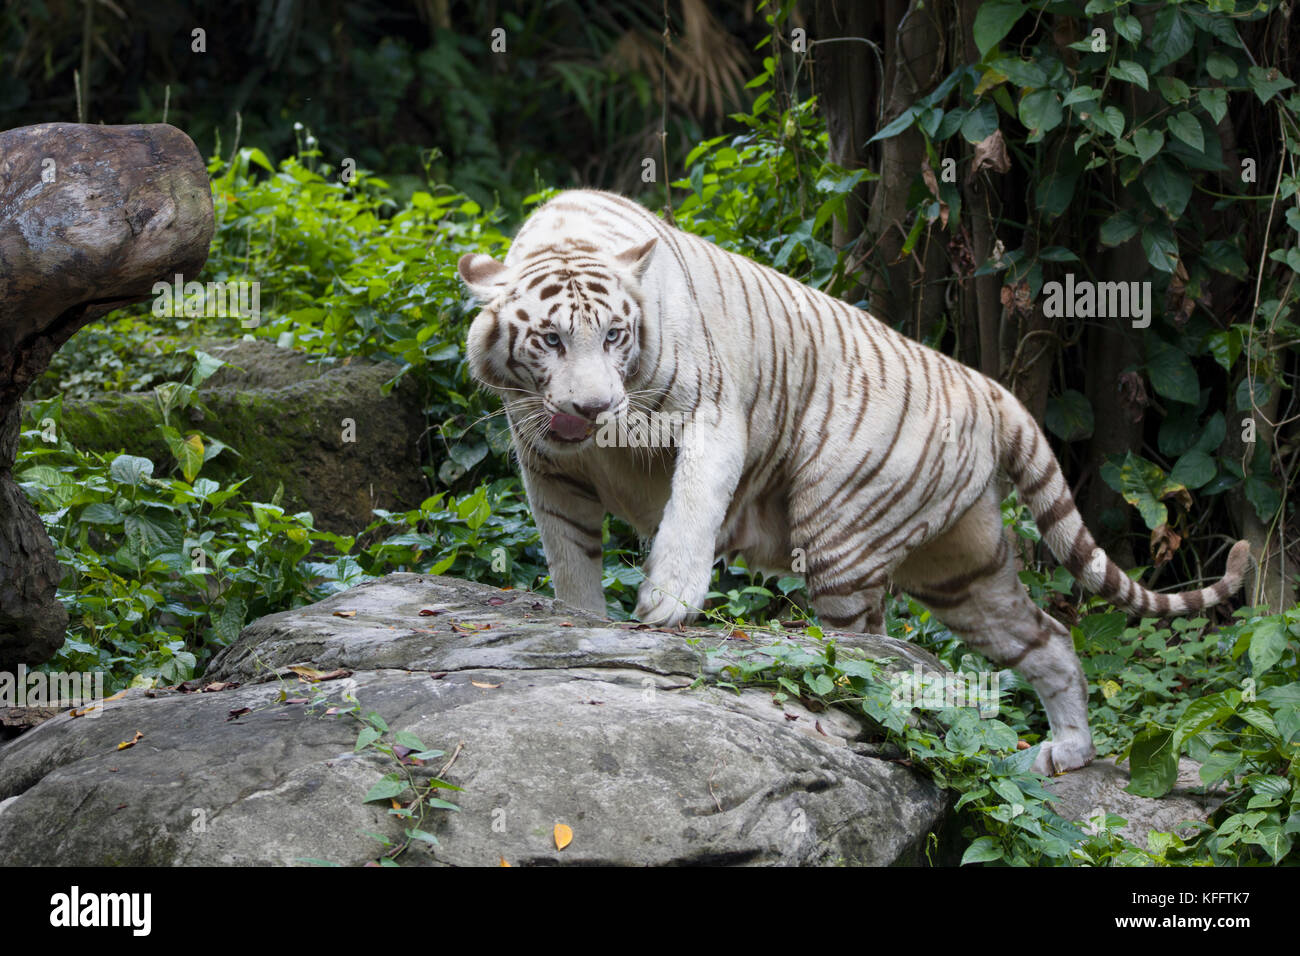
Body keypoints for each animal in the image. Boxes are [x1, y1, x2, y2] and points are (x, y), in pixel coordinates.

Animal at [457, 188, 1248, 780]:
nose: (595, 408)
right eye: (551, 339)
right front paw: (582, 621)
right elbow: (569, 554)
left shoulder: (711, 414)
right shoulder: (547, 465)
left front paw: (666, 603)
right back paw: (1069, 751)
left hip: (841, 538)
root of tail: (986, 385)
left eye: (615, 336)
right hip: (963, 568)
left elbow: (691, 506)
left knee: (866, 656)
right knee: (1045, 637)